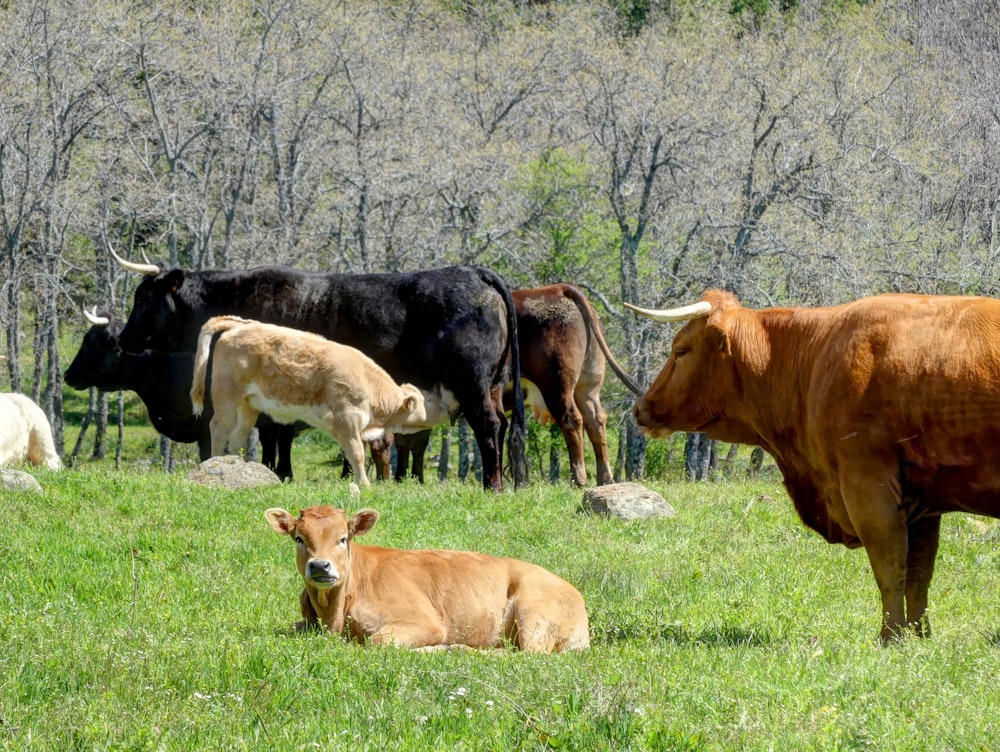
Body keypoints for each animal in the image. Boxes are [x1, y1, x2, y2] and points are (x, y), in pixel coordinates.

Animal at [189, 312, 436, 484]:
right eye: (424, 403)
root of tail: (240, 325)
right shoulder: (347, 420)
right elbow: (357, 454)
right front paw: (365, 485)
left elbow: (350, 453)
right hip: (227, 397)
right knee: (218, 428)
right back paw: (216, 462)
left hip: (248, 404)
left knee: (238, 436)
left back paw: (240, 466)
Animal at [266, 506, 592, 652]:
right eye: (299, 538)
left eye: (343, 538)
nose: (320, 566)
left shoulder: (425, 622)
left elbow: (377, 641)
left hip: (533, 612)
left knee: (524, 654)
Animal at [628, 290, 1000, 644]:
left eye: (680, 351)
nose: (639, 408)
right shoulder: (920, 501)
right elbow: (918, 575)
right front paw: (921, 637)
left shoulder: (868, 487)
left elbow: (891, 570)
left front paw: (890, 637)